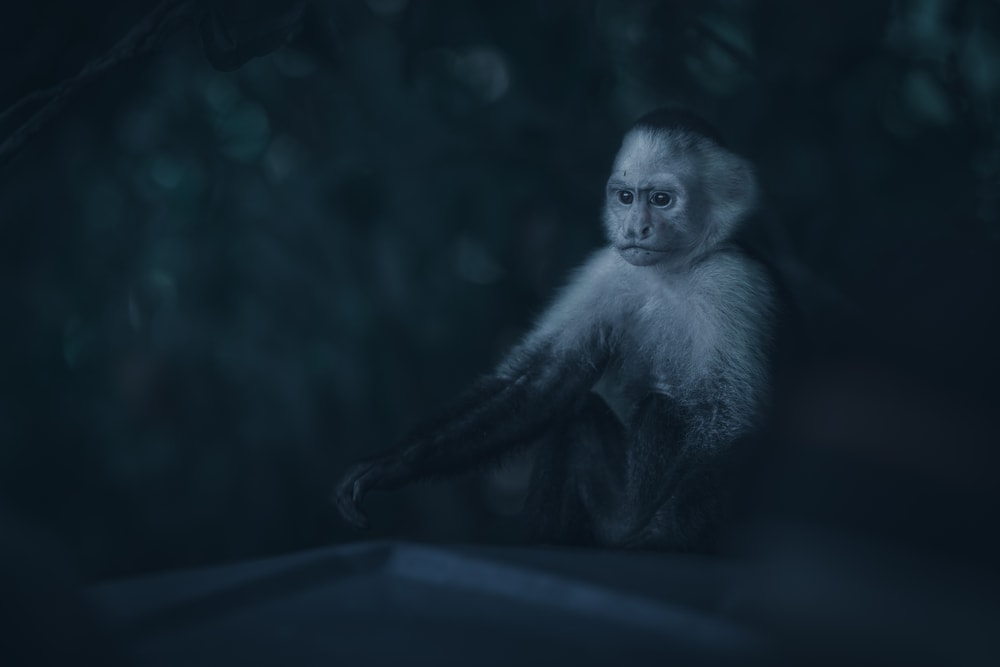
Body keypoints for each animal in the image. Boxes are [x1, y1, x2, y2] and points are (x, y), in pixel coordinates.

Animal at [335, 108, 774, 551]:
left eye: (661, 200)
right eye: (626, 198)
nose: (635, 229)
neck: (670, 274)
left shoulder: (733, 283)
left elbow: (729, 424)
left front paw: (665, 535)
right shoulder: (605, 271)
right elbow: (541, 386)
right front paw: (390, 464)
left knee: (665, 411)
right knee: (575, 418)